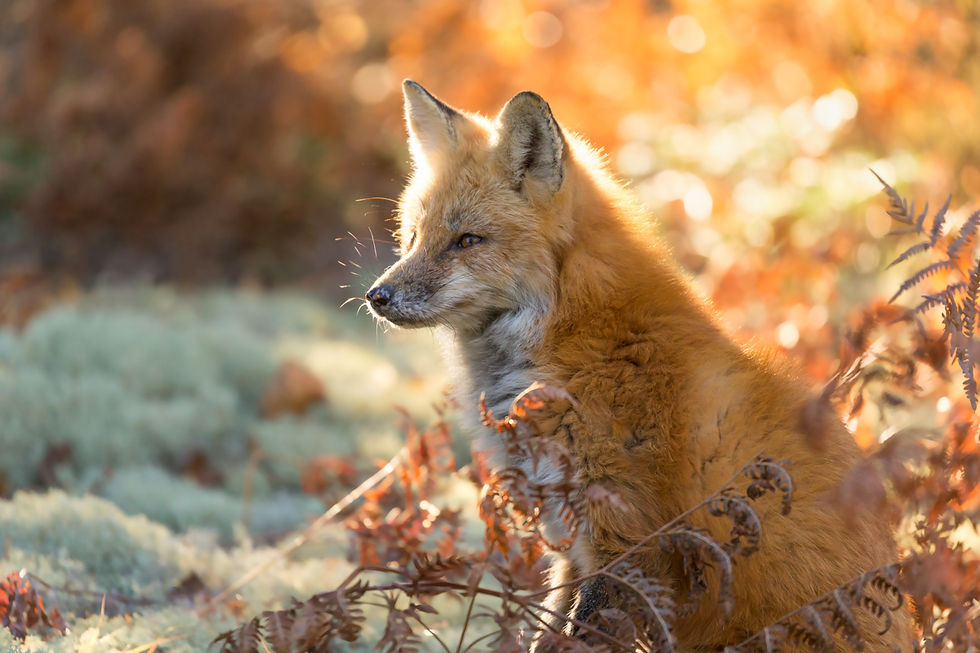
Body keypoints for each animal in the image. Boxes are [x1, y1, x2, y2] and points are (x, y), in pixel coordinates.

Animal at [366, 80, 913, 651]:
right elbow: (549, 631)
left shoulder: (629, 541)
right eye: (412, 236)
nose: (376, 296)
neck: (575, 340)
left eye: (467, 241)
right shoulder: (573, 542)